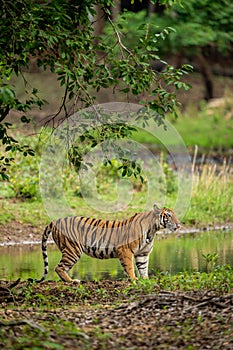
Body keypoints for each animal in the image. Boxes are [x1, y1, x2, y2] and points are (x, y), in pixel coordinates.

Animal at [35, 204, 180, 284]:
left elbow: (143, 268)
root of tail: (56, 221)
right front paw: (134, 279)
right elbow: (130, 267)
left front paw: (146, 280)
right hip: (72, 250)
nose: (179, 225)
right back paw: (72, 281)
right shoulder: (125, 251)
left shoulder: (143, 253)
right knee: (59, 267)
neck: (153, 230)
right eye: (168, 215)